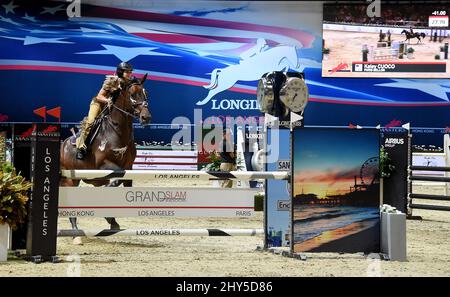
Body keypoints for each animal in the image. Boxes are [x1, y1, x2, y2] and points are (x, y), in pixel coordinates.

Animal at [59, 74, 152, 238]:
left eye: (145, 93)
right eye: (133, 94)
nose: (146, 117)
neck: (117, 132)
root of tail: (63, 145)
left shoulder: (129, 166)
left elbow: (123, 181)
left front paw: (112, 220)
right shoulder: (103, 165)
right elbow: (116, 179)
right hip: (69, 179)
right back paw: (76, 233)